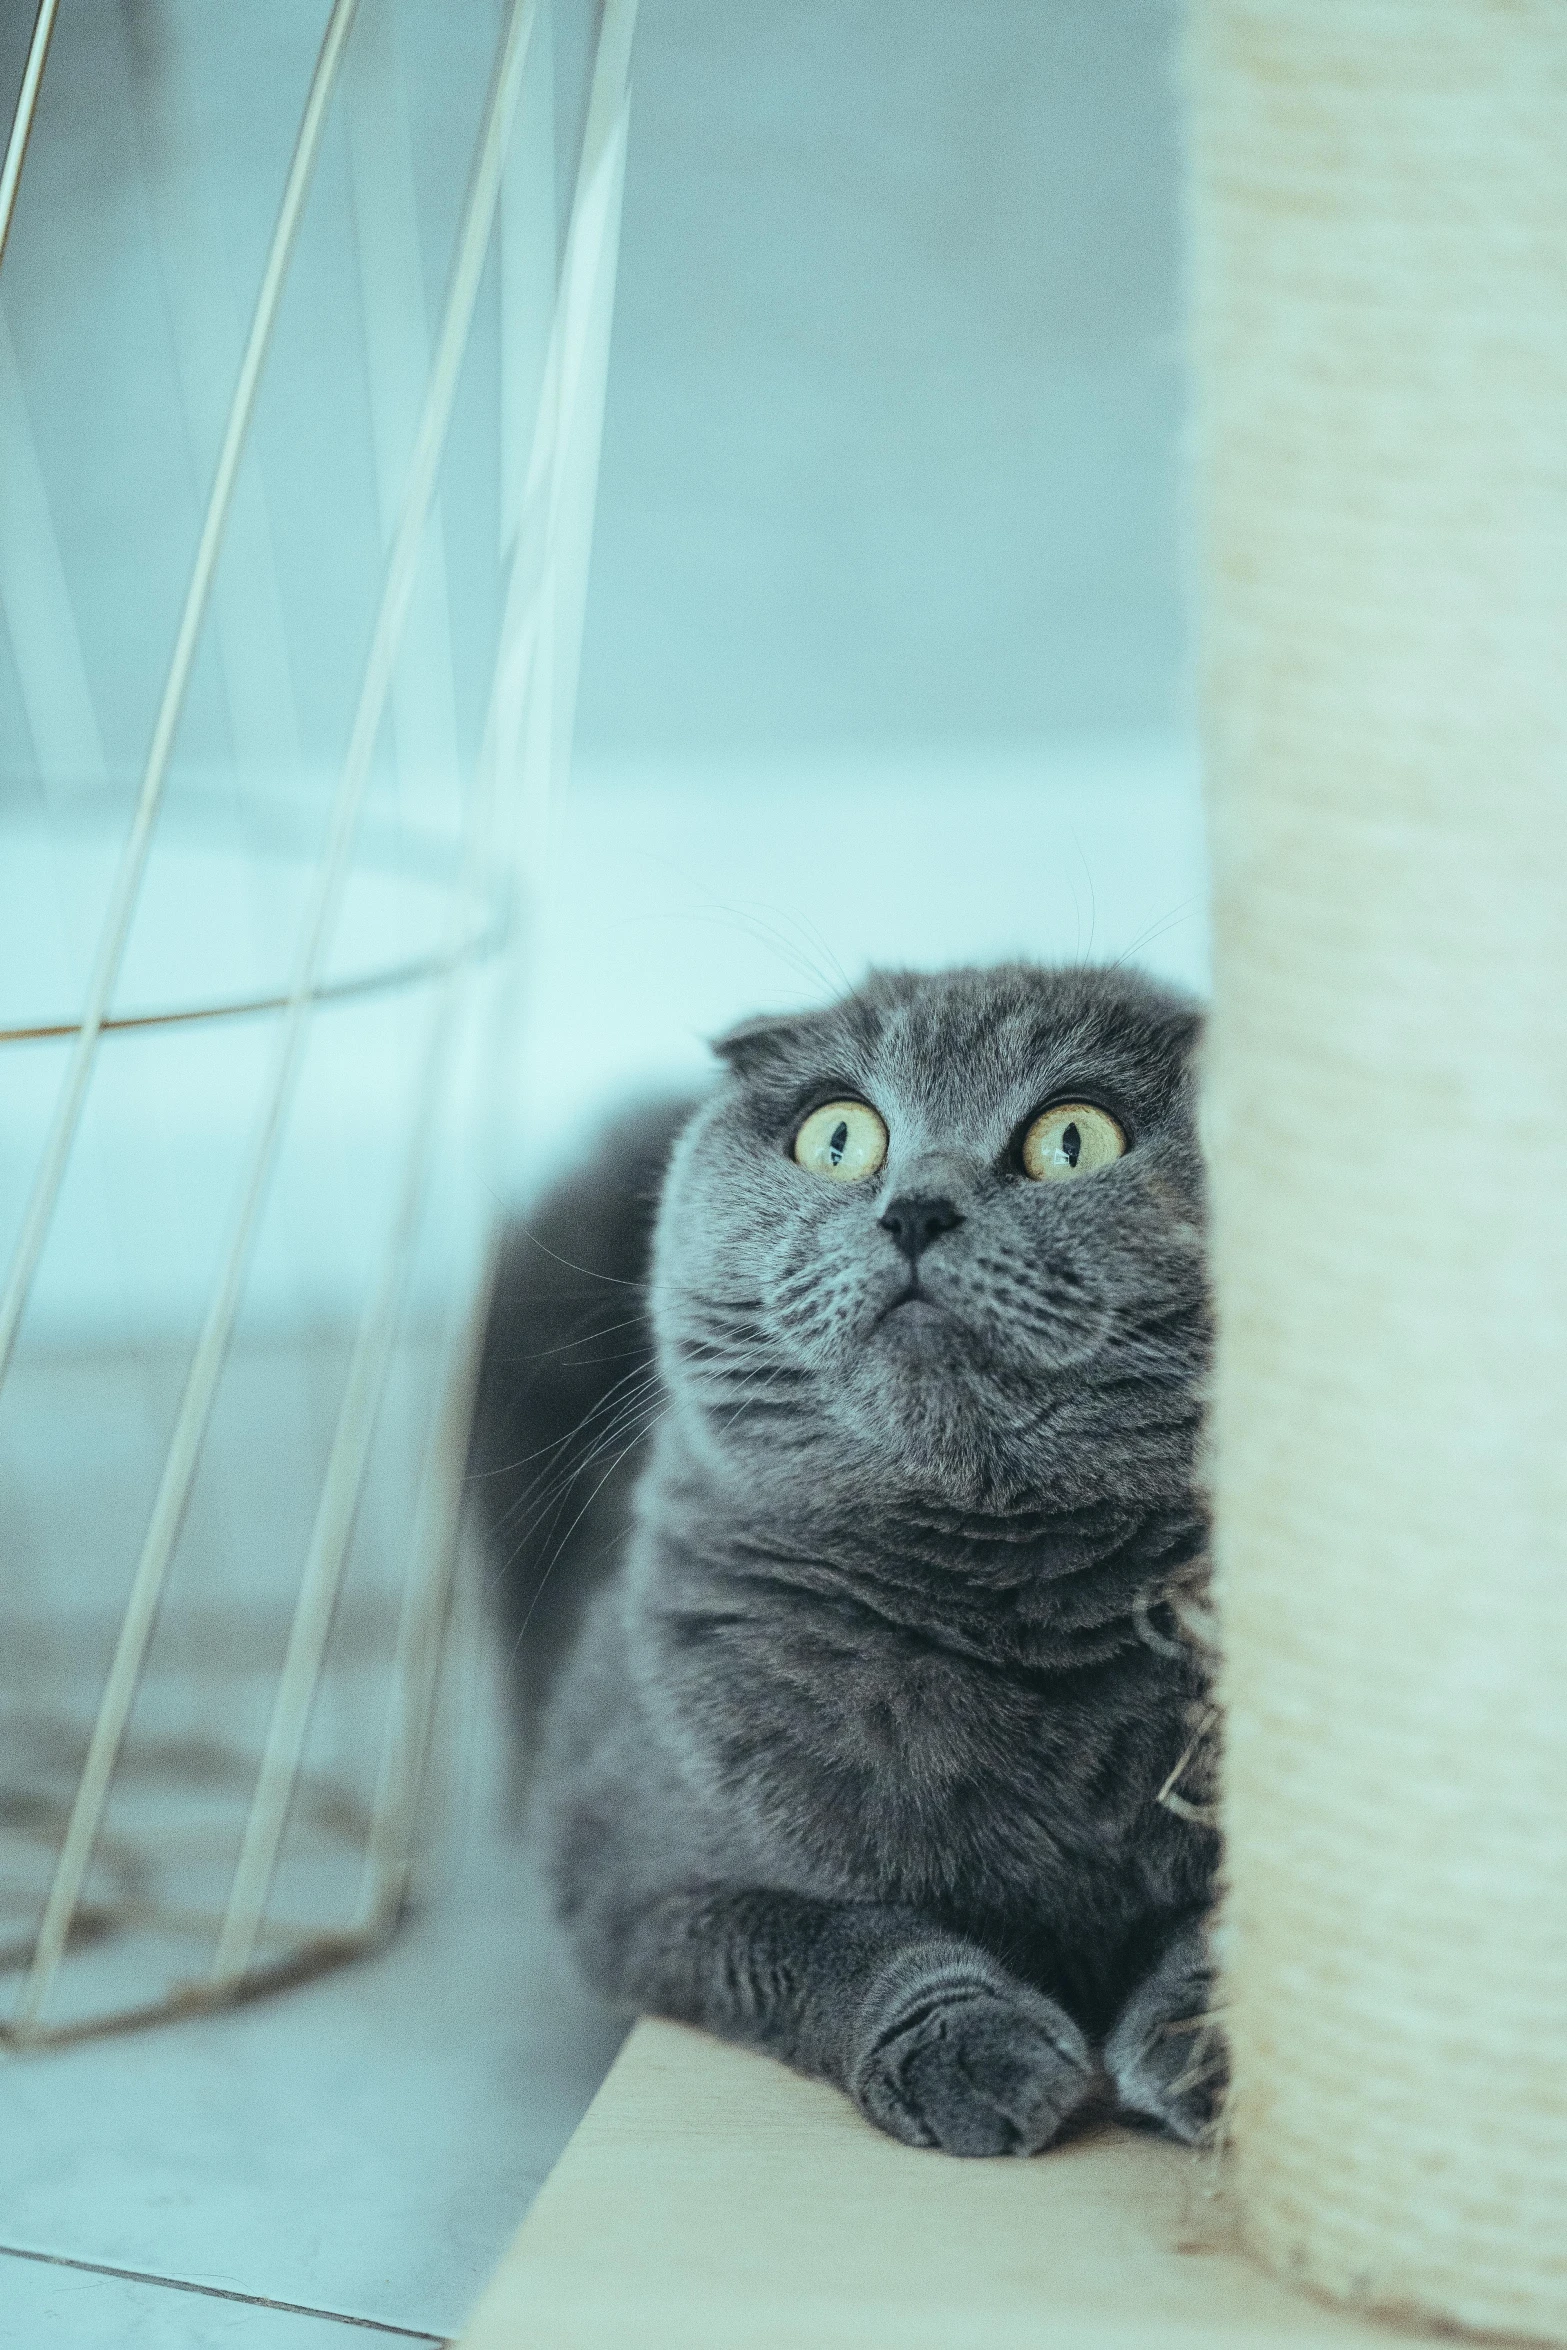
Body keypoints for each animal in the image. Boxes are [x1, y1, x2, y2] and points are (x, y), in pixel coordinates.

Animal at [472, 963, 1221, 2152]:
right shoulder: (635, 1883)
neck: (997, 1592)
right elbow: (835, 1935)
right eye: (839, 1136)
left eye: (1073, 1138)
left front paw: (1219, 2053)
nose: (915, 1208)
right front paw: (973, 2049)